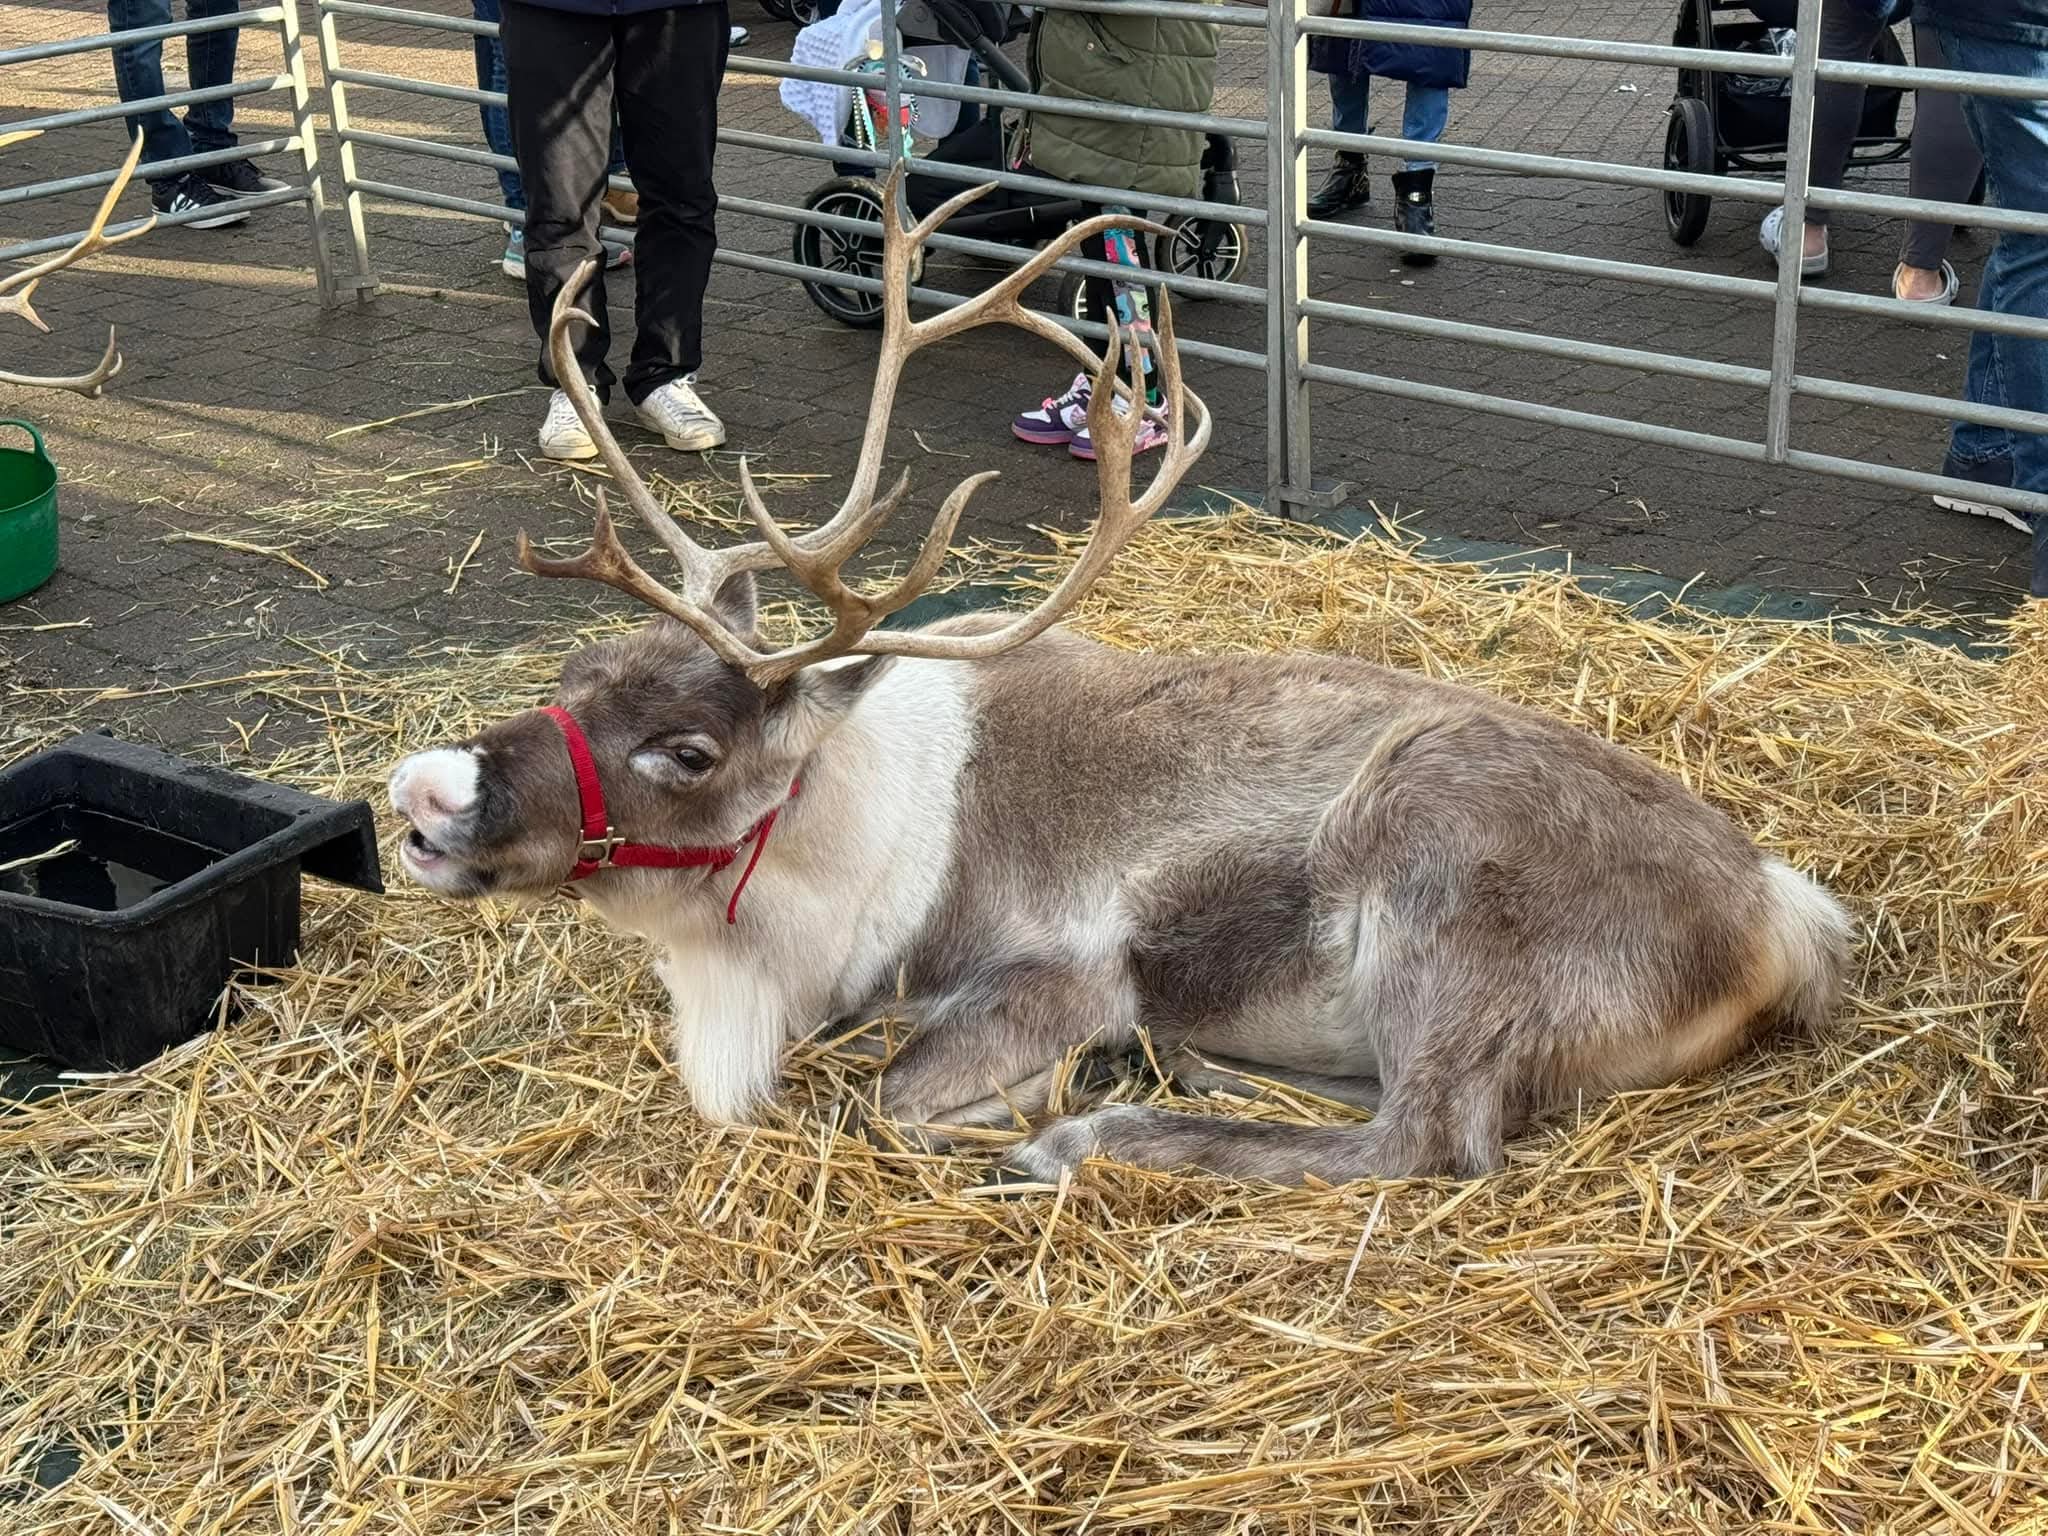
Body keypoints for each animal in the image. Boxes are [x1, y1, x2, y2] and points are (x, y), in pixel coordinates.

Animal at [388, 168, 1851, 1187]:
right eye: (578, 666)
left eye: (687, 750)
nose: (422, 792)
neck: (847, 864)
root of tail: (1783, 916)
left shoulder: (1063, 970)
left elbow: (892, 1097)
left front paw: (1025, 1107)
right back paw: (1193, 1067)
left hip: (1437, 881)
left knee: (1427, 1140)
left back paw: (1092, 1130)